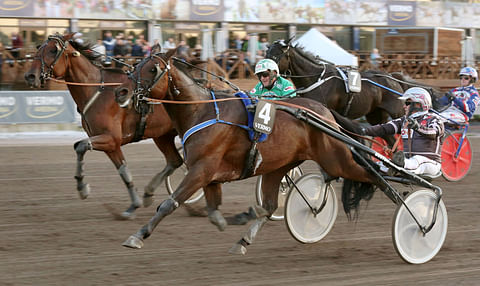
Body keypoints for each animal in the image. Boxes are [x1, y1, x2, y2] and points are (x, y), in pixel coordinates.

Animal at [22, 33, 184, 219]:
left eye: (52, 50)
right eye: (39, 48)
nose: (30, 76)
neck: (97, 91)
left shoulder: (111, 139)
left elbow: (82, 146)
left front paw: (82, 188)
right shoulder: (110, 145)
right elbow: (122, 170)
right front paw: (133, 205)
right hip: (162, 136)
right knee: (175, 161)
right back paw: (149, 193)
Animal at [113, 50, 386, 254]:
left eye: (152, 69)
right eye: (136, 65)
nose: (121, 92)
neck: (203, 111)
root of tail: (325, 113)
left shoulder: (201, 169)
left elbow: (169, 204)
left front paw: (137, 235)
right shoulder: (209, 175)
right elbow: (214, 212)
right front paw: (236, 218)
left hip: (336, 160)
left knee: (371, 178)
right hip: (279, 166)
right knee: (270, 205)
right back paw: (244, 238)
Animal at [264, 38, 406, 145]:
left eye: (275, 56)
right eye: (266, 55)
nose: (264, 74)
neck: (316, 79)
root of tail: (392, 78)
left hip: (397, 112)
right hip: (375, 115)